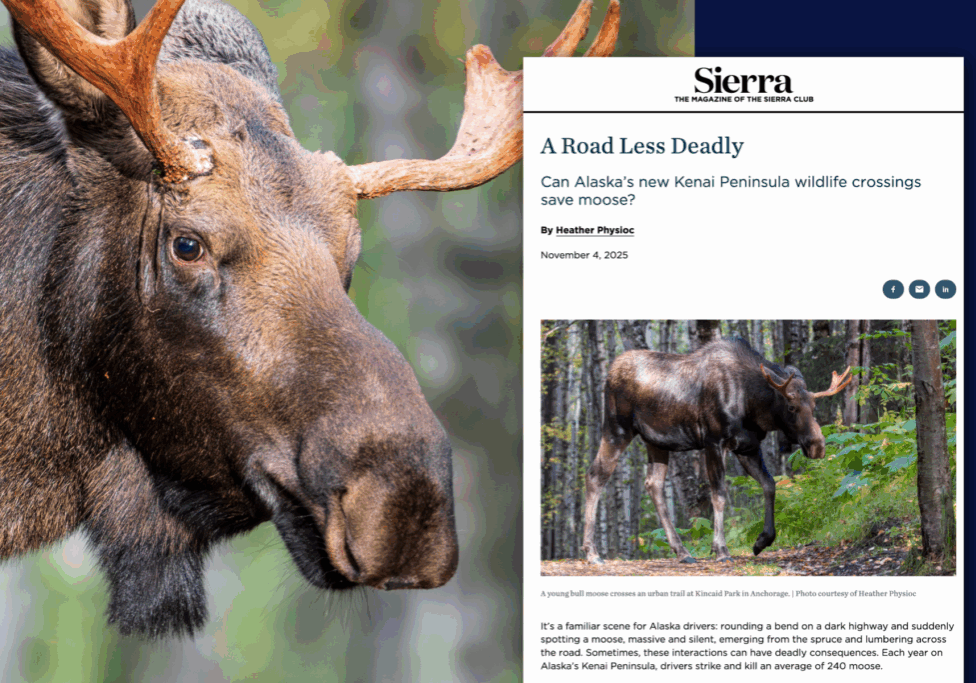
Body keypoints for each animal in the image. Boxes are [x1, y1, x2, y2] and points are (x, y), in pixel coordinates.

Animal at [582, 337, 851, 564]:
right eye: (792, 407)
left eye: (814, 405)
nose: (817, 445)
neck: (752, 405)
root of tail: (609, 374)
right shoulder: (714, 442)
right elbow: (719, 495)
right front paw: (721, 549)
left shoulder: (747, 447)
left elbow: (769, 484)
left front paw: (762, 541)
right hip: (617, 429)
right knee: (595, 476)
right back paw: (592, 552)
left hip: (656, 442)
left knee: (653, 485)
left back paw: (682, 552)